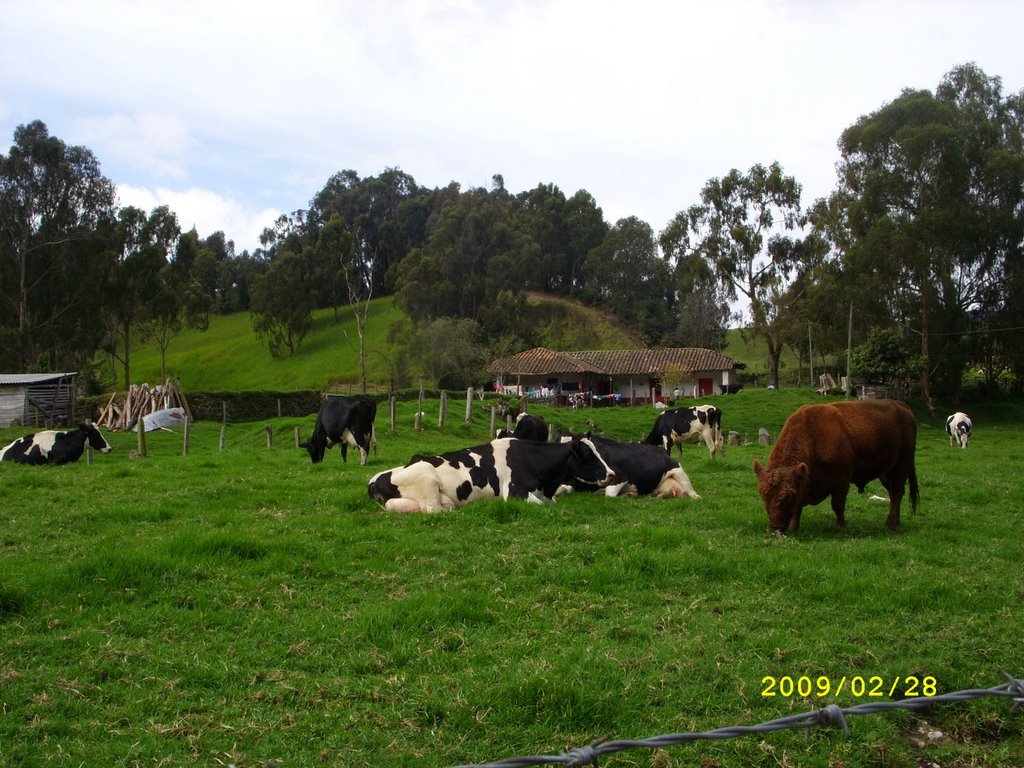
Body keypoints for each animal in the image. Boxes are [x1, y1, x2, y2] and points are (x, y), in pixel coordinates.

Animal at [368, 436, 614, 514]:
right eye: (587, 454)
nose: (611, 473)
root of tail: (374, 480)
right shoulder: (515, 492)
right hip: (427, 478)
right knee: (434, 510)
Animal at [753, 399, 921, 532]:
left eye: (790, 495)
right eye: (764, 495)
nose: (776, 527)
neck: (813, 436)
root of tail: (902, 407)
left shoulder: (841, 480)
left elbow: (837, 505)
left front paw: (842, 525)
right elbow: (798, 509)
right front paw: (794, 528)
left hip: (901, 466)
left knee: (897, 492)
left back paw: (890, 524)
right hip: (886, 473)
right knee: (893, 493)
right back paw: (896, 522)